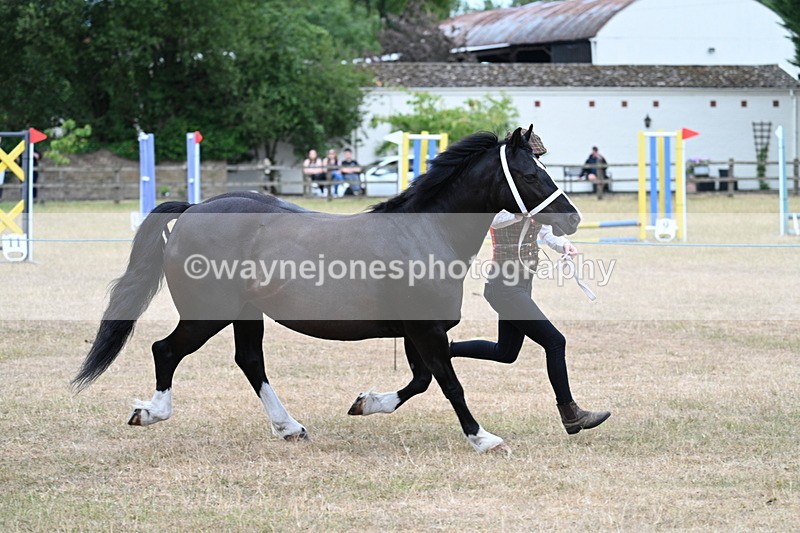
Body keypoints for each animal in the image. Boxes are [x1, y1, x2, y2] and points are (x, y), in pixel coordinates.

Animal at [73, 126, 581, 453]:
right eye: (531, 174)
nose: (572, 218)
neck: (425, 231)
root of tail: (195, 208)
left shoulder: (419, 331)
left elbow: (421, 381)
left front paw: (367, 403)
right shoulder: (426, 330)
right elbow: (449, 384)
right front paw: (483, 438)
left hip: (245, 313)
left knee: (249, 361)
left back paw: (289, 427)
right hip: (206, 314)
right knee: (166, 350)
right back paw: (151, 412)